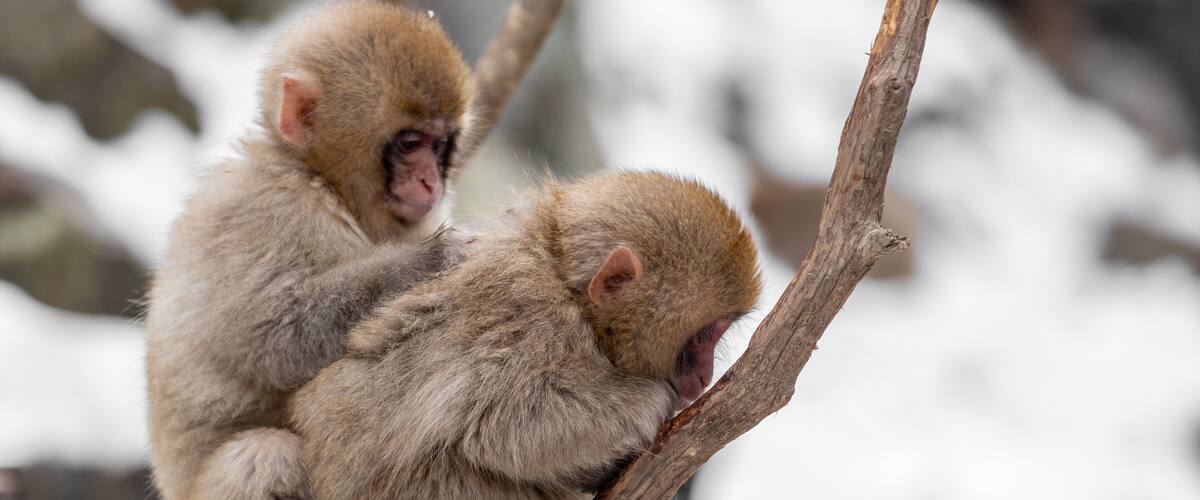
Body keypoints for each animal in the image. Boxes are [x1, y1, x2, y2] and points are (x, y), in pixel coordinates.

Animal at [144, 3, 473, 499]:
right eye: (410, 143)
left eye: (440, 145)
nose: (431, 181)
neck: (320, 182)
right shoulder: (259, 209)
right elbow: (271, 334)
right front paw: (431, 261)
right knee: (265, 459)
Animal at [287, 170, 763, 499]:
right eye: (702, 338)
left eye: (716, 336)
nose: (704, 375)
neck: (565, 282)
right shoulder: (534, 319)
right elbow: (503, 426)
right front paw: (659, 402)